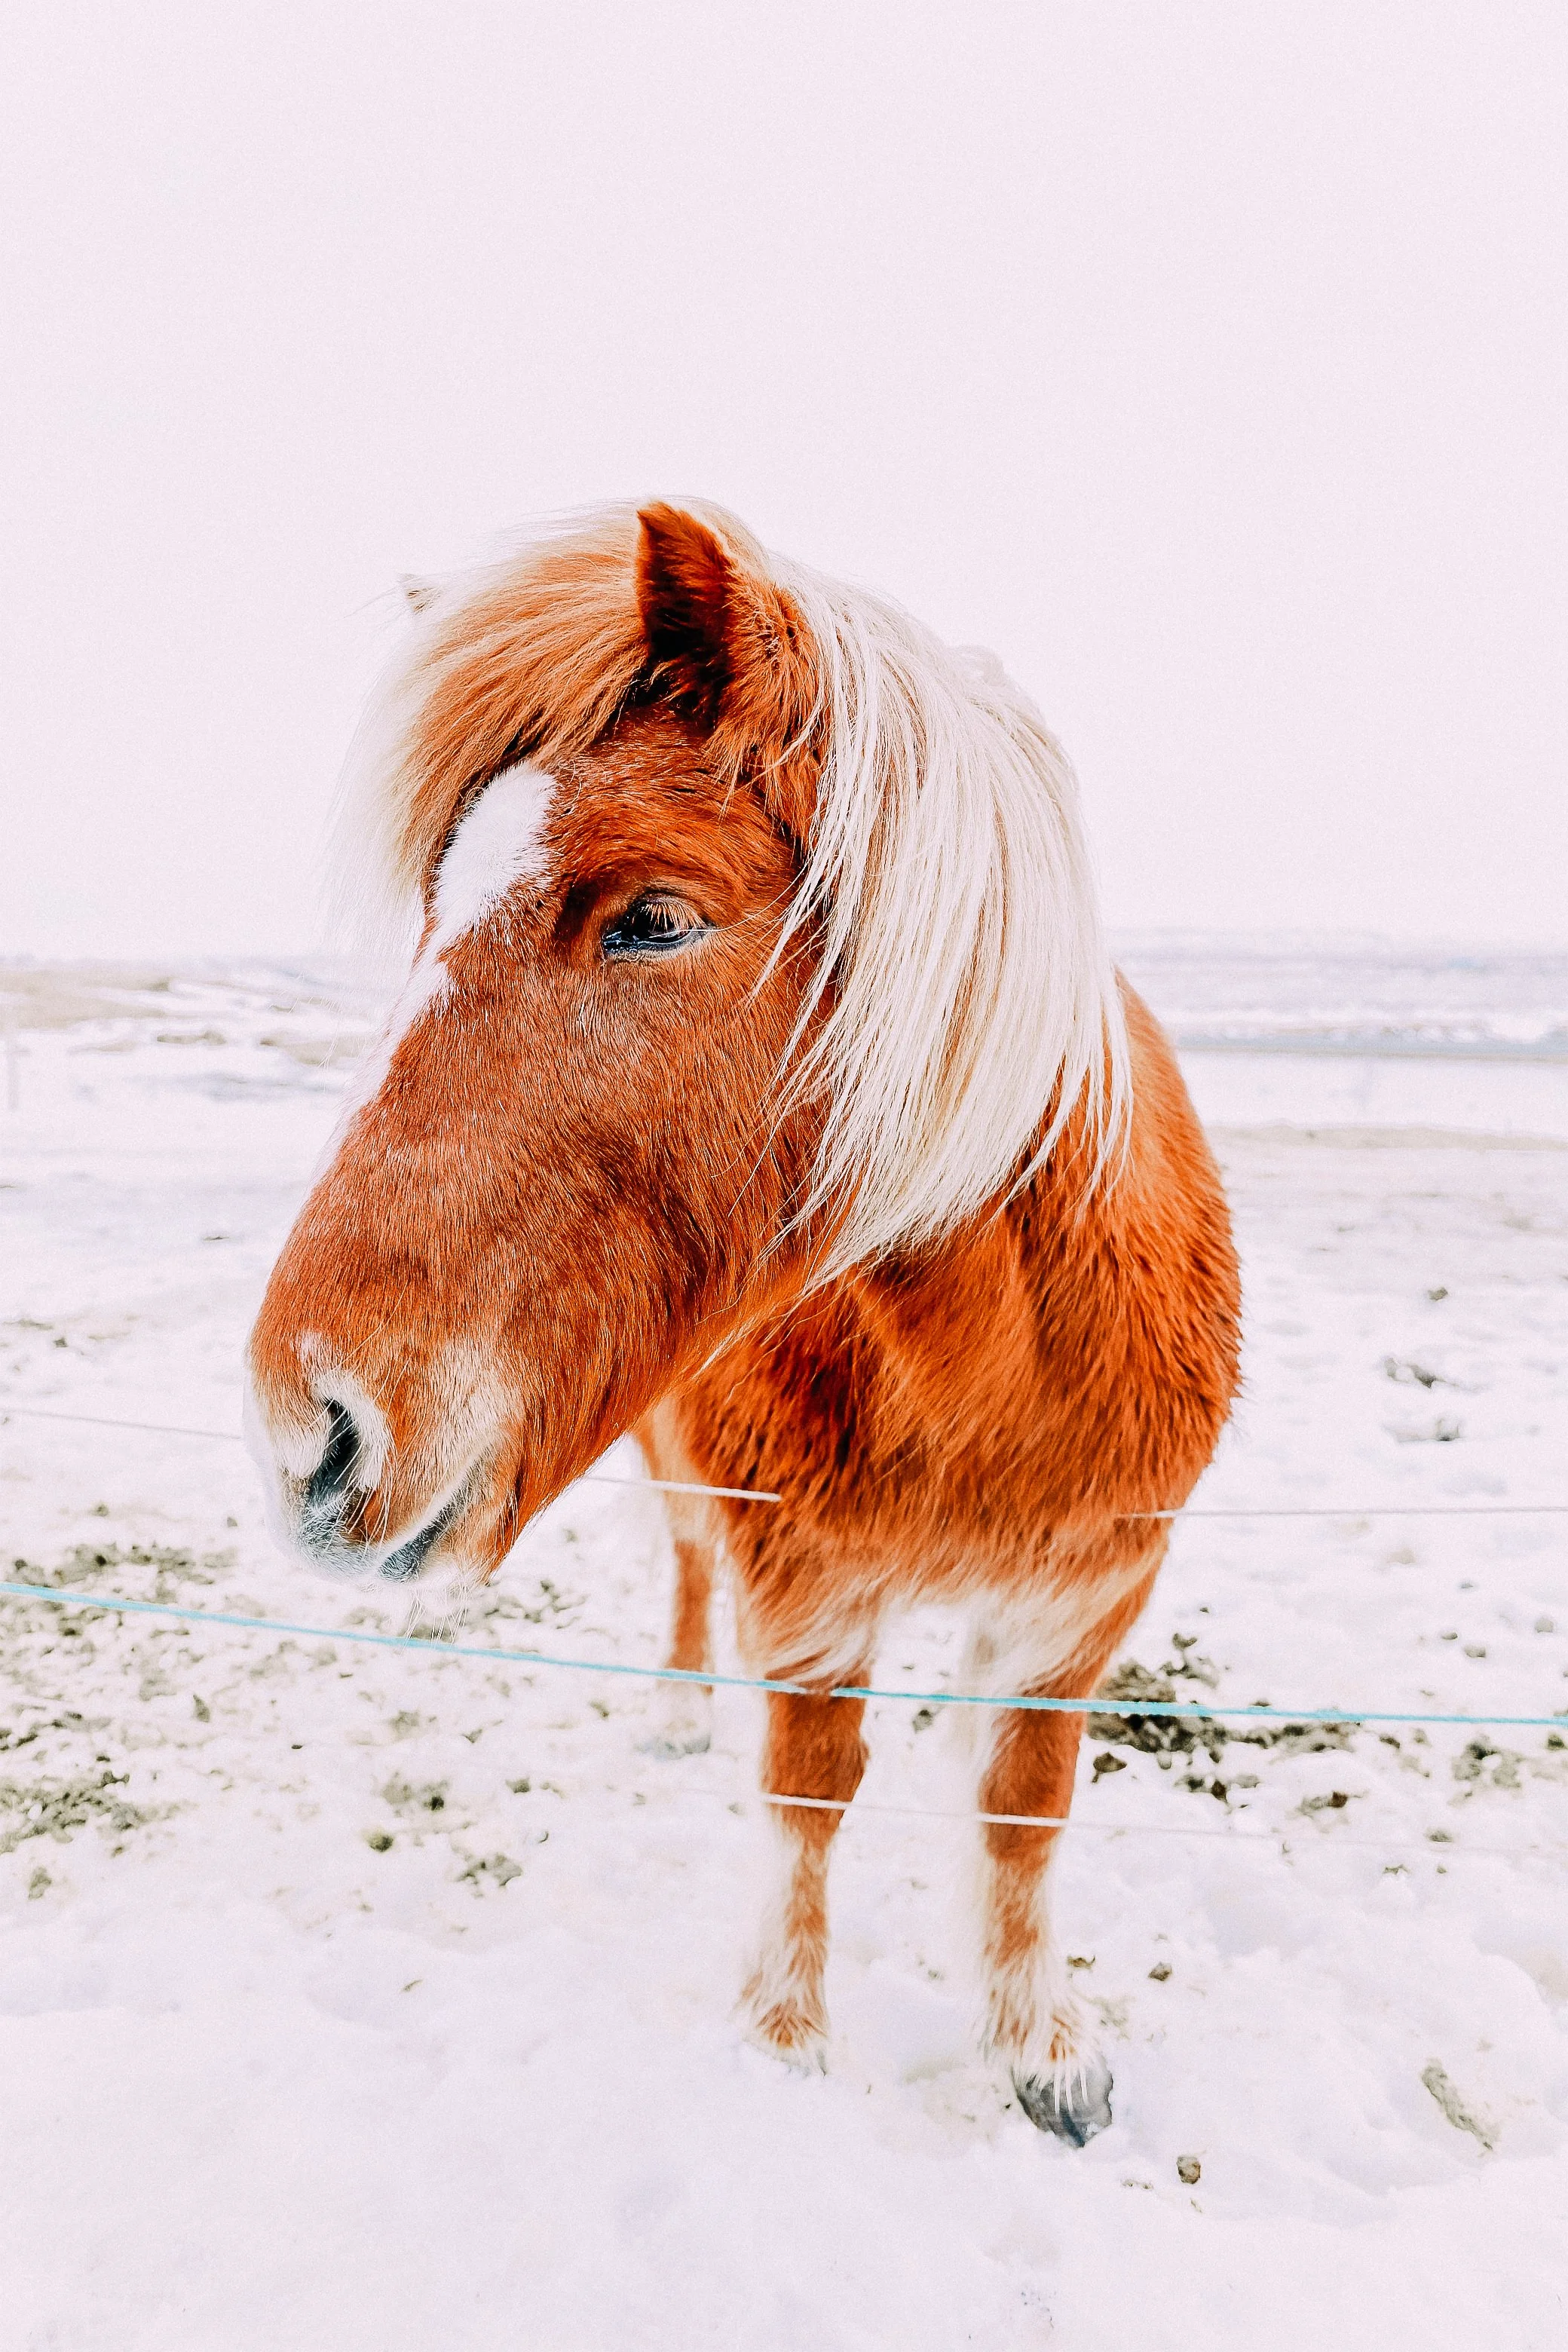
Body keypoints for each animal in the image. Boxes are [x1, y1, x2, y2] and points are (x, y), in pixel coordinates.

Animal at [247, 500, 1240, 2145]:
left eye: (653, 917)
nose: (304, 1435)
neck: (987, 1363)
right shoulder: (807, 1592)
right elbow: (807, 1790)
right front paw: (784, 2037)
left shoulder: (1083, 1600)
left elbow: (1021, 1809)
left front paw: (1039, 2047)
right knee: (686, 1570)